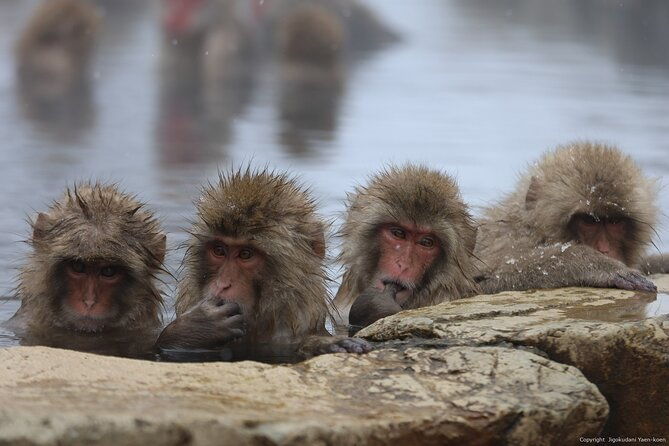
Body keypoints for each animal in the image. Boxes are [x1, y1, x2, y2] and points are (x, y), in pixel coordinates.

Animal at [474, 141, 664, 294]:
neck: (533, 231)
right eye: (589, 221)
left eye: (614, 221)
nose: (604, 250)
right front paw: (596, 264)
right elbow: (481, 282)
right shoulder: (507, 241)